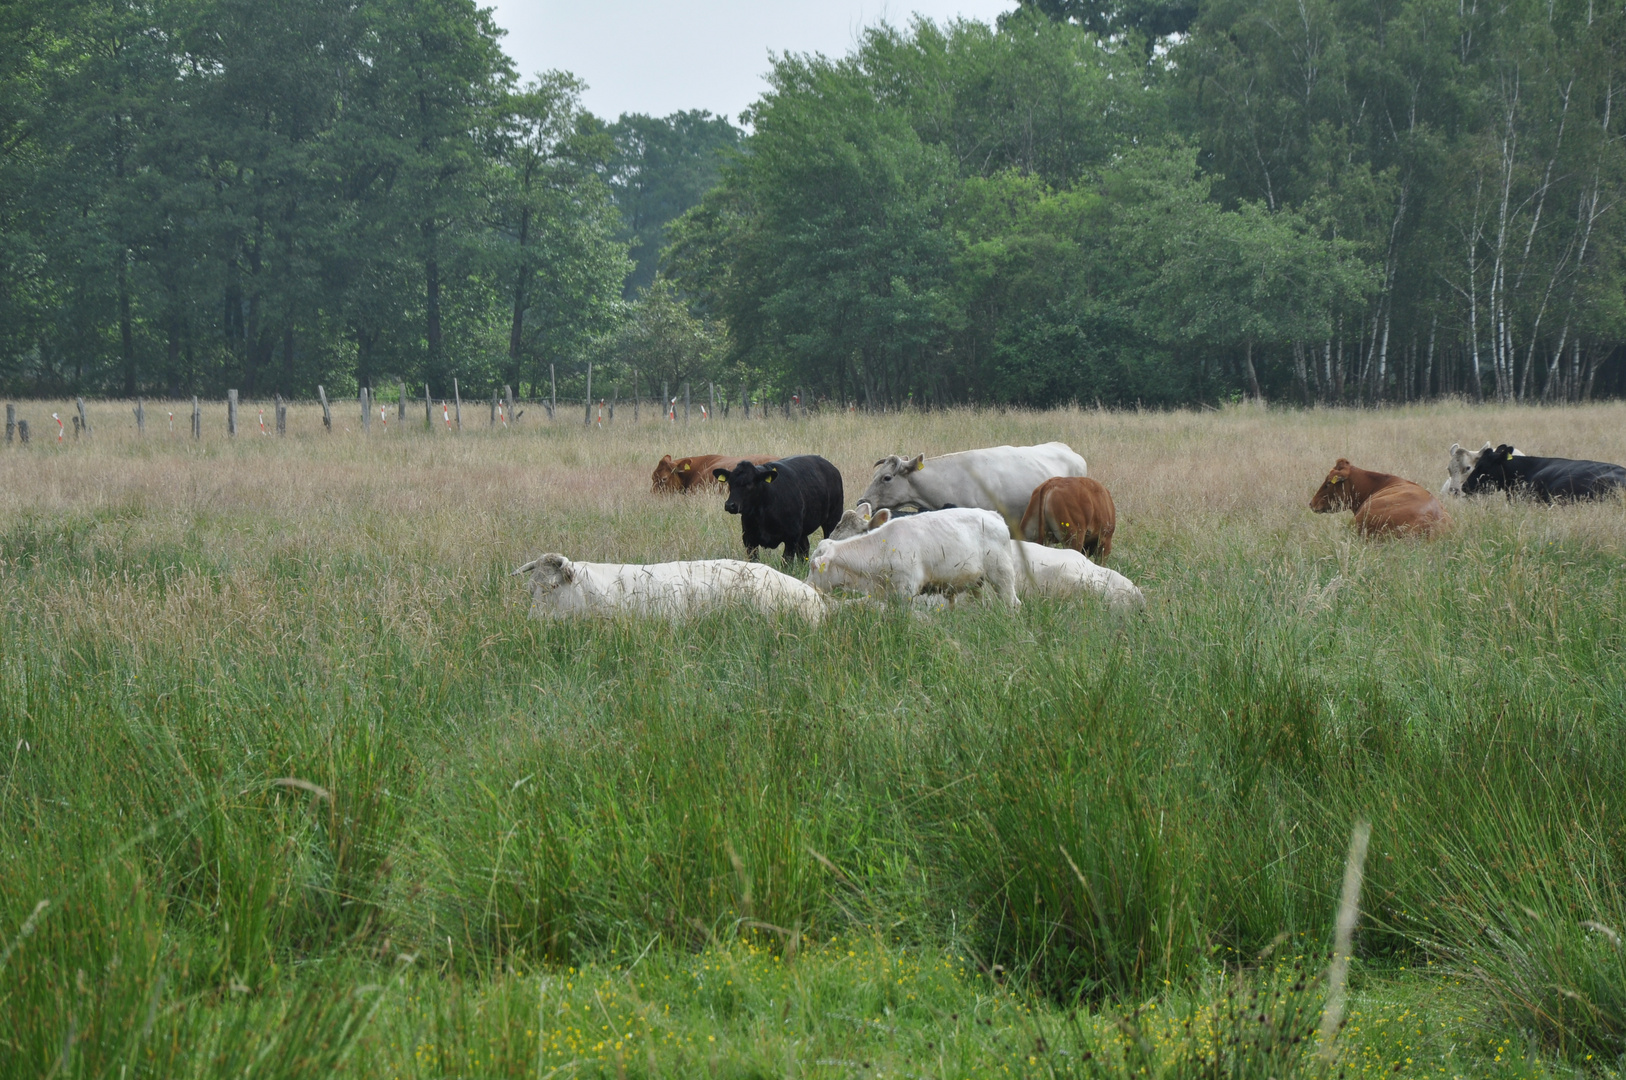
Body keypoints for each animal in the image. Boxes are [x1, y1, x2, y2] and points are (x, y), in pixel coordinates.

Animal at [809, 507, 1021, 608]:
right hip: (975, 583)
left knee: (1013, 603)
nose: (807, 586)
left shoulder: (906, 591)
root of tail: (993, 515)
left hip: (1002, 575)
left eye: (813, 566)